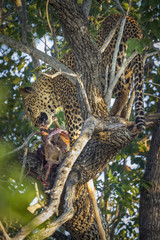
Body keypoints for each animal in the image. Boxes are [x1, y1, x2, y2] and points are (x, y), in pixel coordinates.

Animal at [19, 14, 145, 145]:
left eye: (29, 109)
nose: (35, 125)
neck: (52, 85)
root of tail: (129, 18)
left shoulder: (73, 109)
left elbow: (75, 135)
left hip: (111, 61)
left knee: (123, 91)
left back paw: (113, 114)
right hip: (128, 64)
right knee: (127, 89)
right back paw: (122, 116)